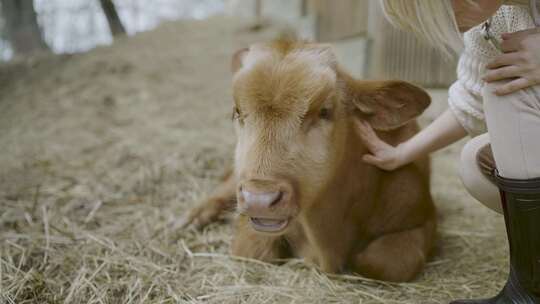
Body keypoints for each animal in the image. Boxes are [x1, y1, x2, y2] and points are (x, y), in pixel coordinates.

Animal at [184, 39, 436, 282]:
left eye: (324, 111)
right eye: (237, 111)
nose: (259, 199)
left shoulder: (422, 219)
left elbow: (384, 263)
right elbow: (254, 251)